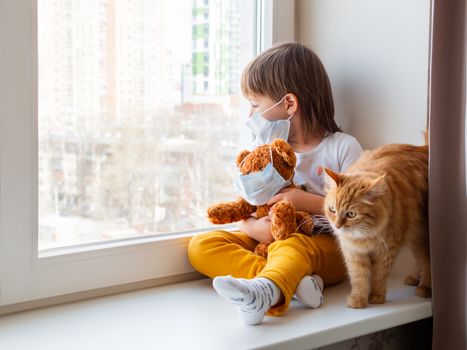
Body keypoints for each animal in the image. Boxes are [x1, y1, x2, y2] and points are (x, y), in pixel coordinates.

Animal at [324, 144, 430, 308]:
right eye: (332, 210)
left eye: (351, 214)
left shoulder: (387, 250)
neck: (363, 236)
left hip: (420, 235)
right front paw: (358, 299)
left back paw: (424, 287)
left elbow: (379, 275)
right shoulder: (353, 252)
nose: (337, 226)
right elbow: (359, 277)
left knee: (426, 260)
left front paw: (376, 296)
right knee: (419, 258)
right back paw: (413, 278)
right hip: (414, 236)